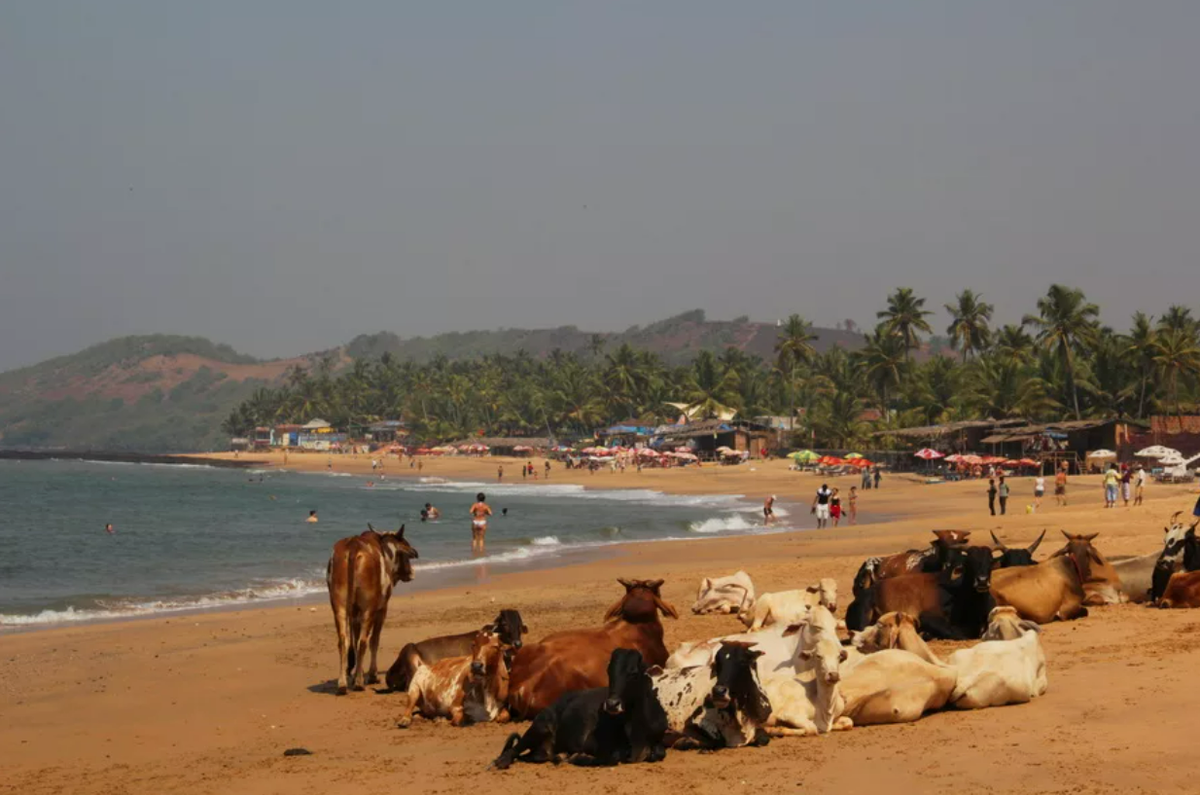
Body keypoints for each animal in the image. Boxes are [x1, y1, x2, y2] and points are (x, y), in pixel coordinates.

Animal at [326, 525, 420, 696]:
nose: (411, 573)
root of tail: (353, 546)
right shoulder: (382, 609)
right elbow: (374, 641)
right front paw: (372, 674)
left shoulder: (355, 614)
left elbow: (355, 641)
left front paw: (357, 672)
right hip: (368, 609)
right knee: (364, 641)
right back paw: (359, 683)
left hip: (339, 606)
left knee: (344, 641)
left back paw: (343, 683)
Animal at [492, 653, 672, 768]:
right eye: (609, 671)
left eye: (633, 673)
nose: (611, 704)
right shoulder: (591, 744)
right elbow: (612, 757)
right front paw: (578, 758)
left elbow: (659, 752)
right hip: (540, 726)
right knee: (514, 750)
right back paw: (500, 762)